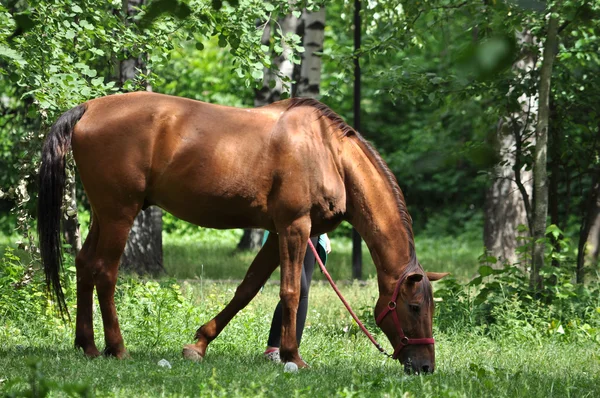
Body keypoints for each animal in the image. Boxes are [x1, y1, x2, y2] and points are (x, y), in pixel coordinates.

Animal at [37, 91, 448, 374]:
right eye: (414, 307)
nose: (425, 366)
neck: (328, 151)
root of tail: (89, 108)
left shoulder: (278, 233)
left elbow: (247, 289)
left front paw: (199, 344)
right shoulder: (295, 227)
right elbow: (290, 291)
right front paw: (293, 357)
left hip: (103, 215)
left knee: (85, 264)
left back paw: (87, 345)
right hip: (120, 215)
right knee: (105, 272)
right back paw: (117, 348)